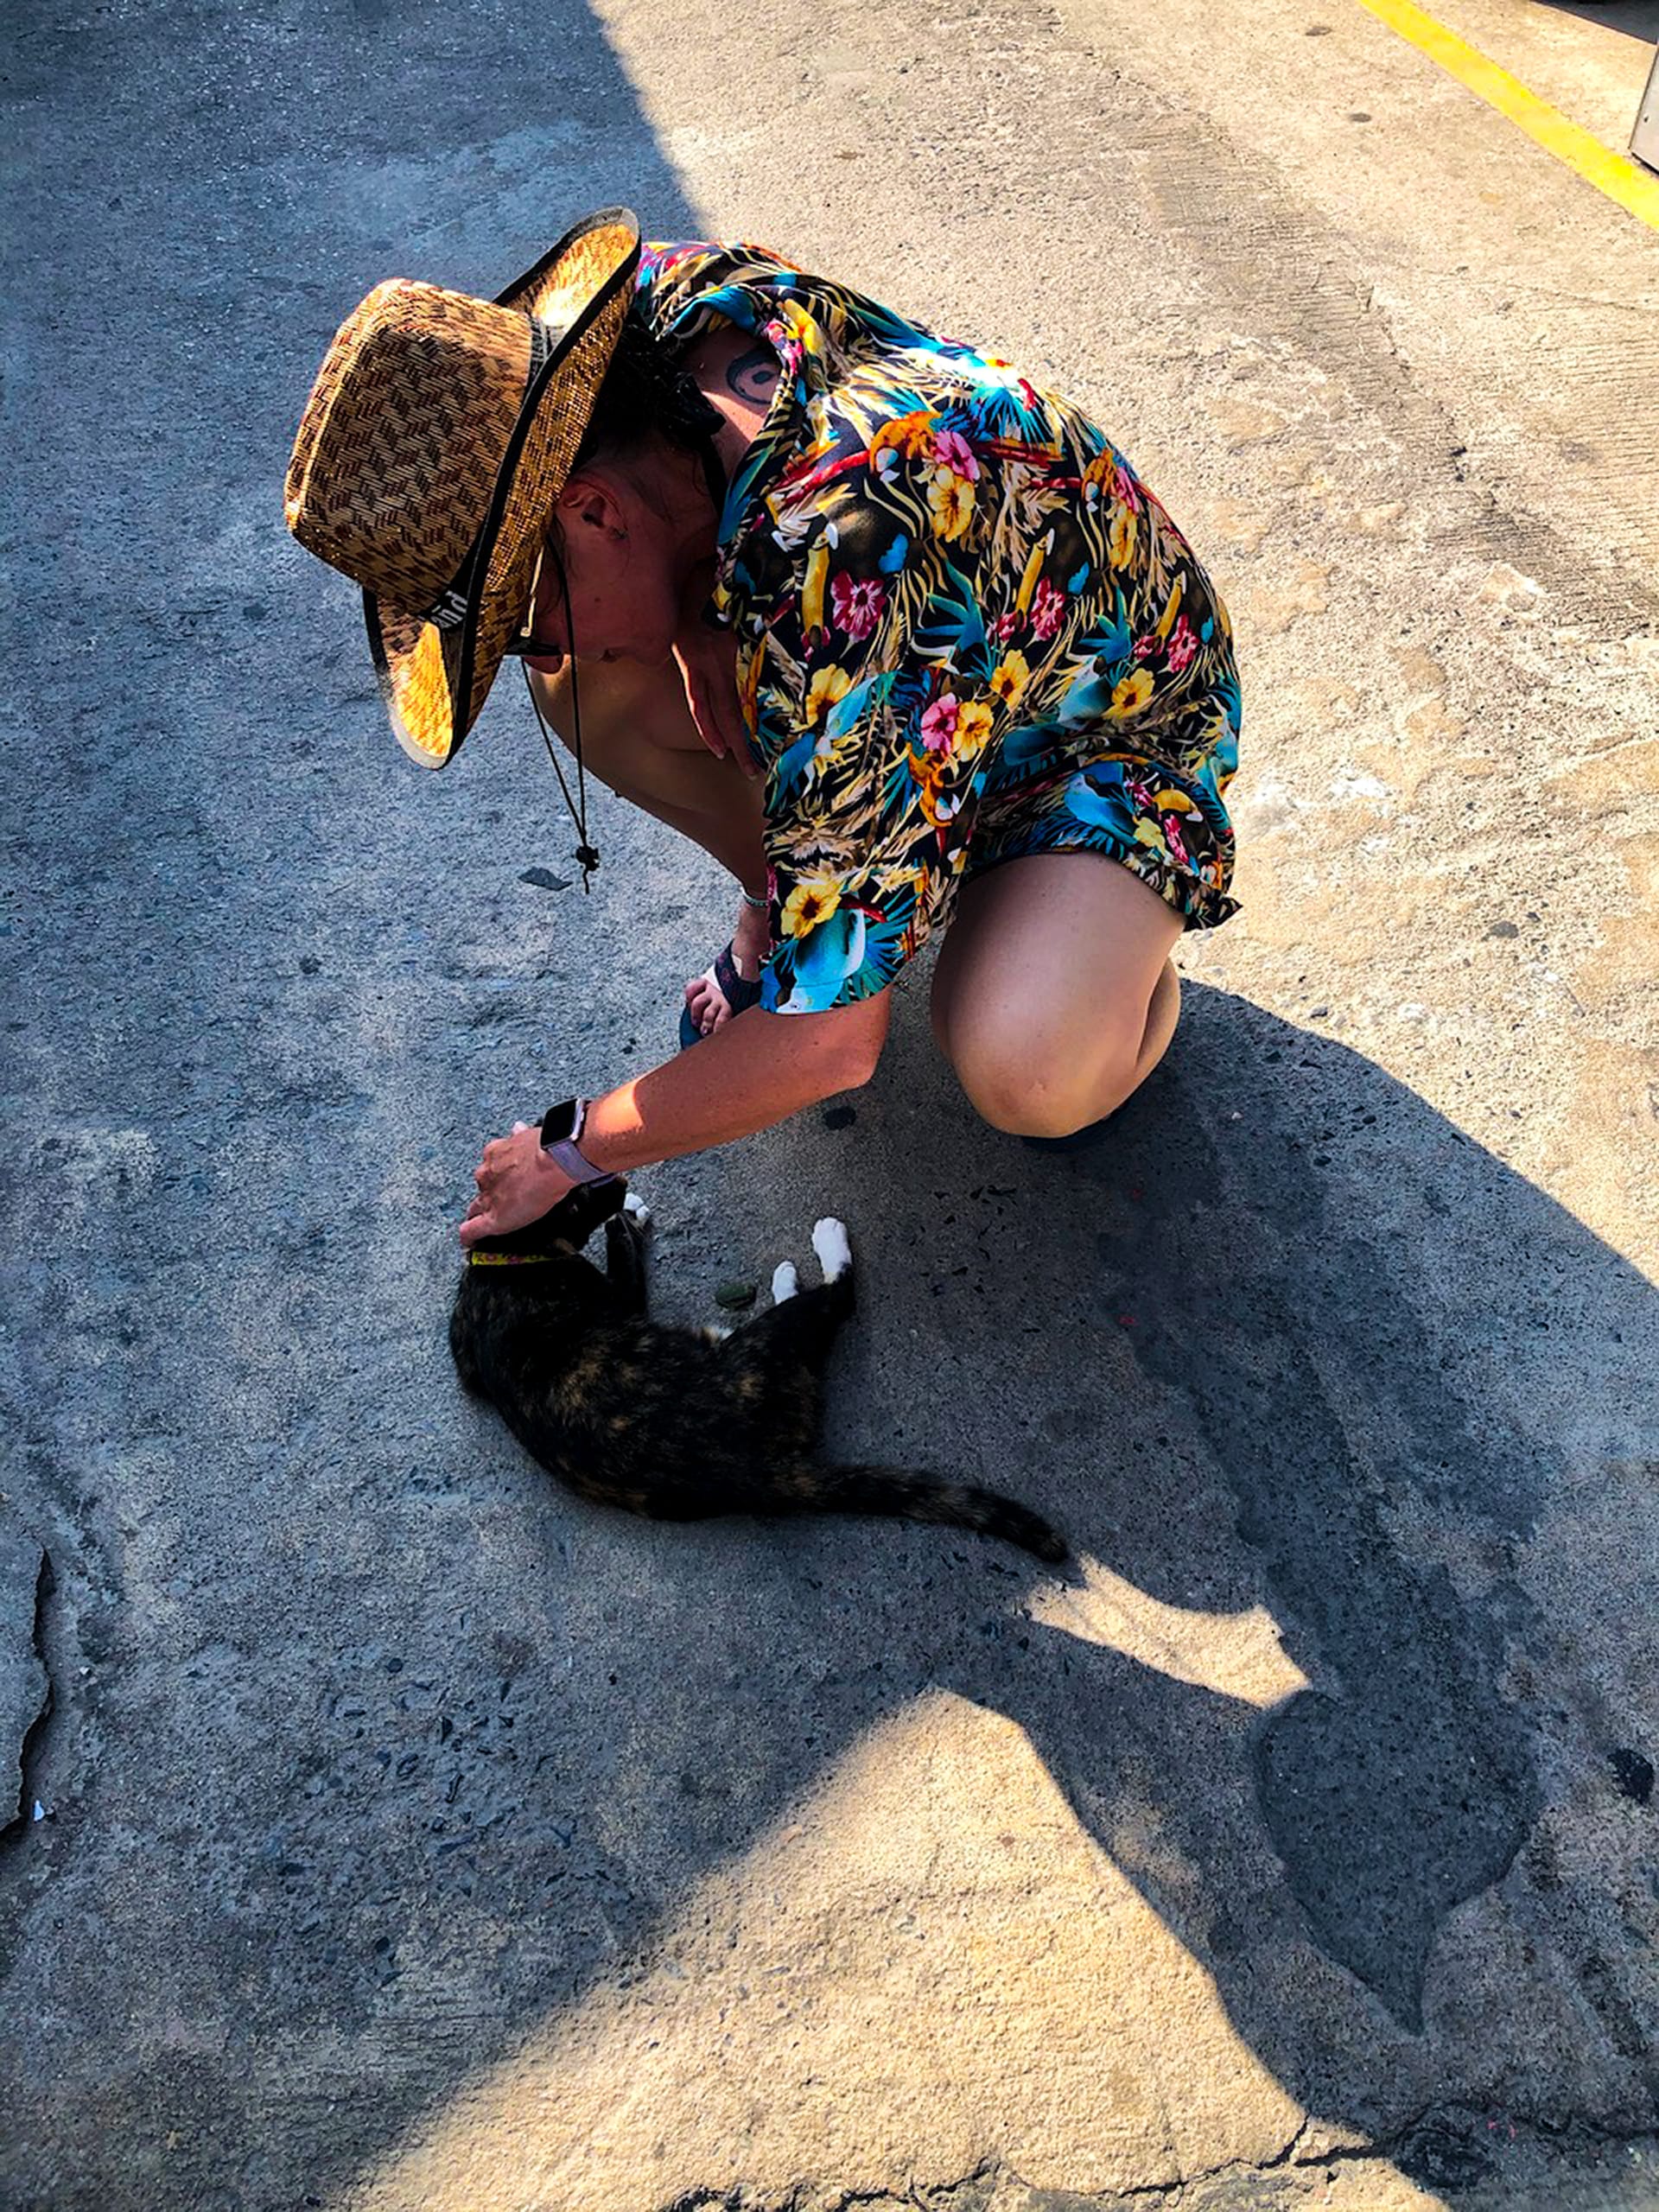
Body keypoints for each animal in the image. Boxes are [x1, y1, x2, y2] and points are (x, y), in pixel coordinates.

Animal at [449, 1180, 1068, 1562]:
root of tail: (752, 1472)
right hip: (768, 1346)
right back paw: (821, 1246)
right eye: (580, 1195)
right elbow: (621, 1245)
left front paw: (632, 1207)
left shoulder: (463, 1351)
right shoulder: (620, 1298)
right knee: (836, 1298)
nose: (619, 1179)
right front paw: (630, 1215)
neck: (504, 1263)